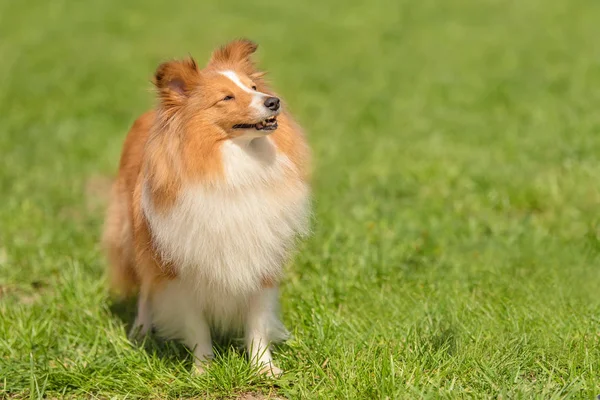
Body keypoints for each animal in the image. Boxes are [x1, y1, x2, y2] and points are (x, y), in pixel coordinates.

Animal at [101, 39, 312, 376]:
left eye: (253, 87)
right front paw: (203, 370)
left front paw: (264, 368)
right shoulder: (180, 270)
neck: (235, 163)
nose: (274, 101)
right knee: (146, 291)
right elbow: (196, 325)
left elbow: (257, 322)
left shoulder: (260, 259)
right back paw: (141, 332)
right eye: (226, 97)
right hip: (139, 243)